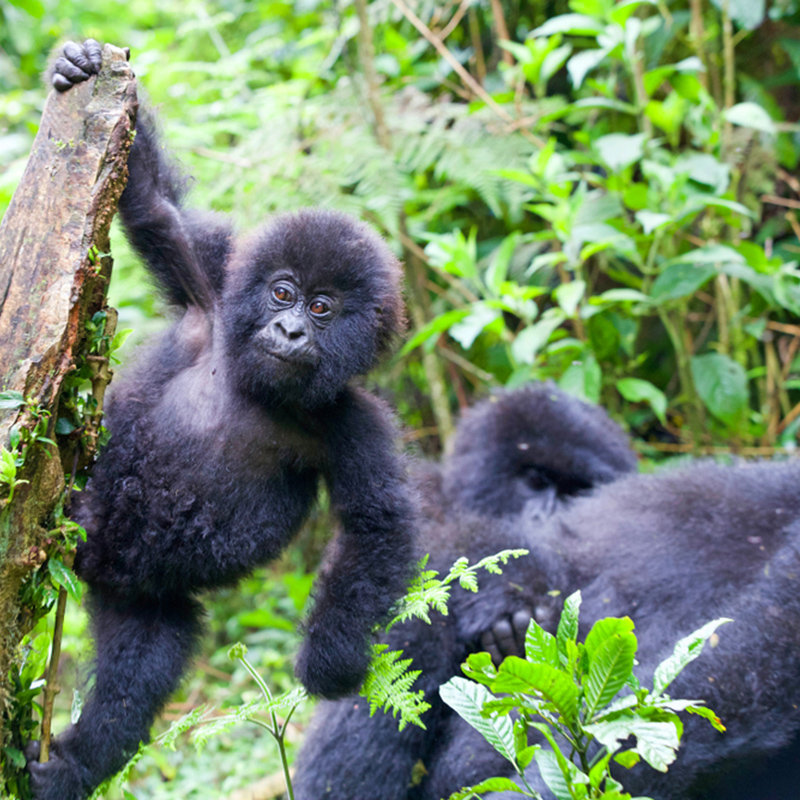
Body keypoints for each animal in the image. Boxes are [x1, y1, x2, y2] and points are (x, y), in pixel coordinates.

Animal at [26, 42, 412, 800]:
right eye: (282, 292)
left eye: (322, 308)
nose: (290, 330)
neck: (260, 386)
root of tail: (93, 564)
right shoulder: (213, 283)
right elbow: (154, 208)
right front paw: (79, 66)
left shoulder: (355, 423)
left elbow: (375, 526)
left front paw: (329, 657)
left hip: (144, 596)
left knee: (137, 676)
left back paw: (70, 765)